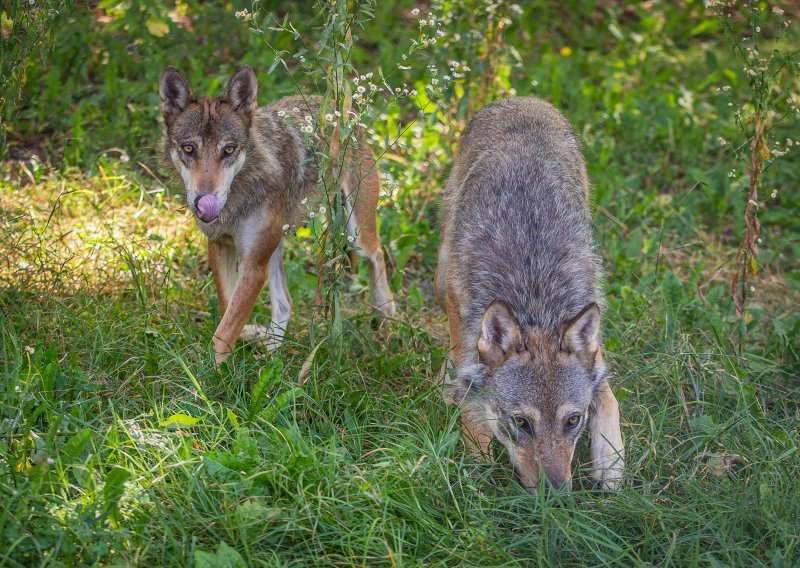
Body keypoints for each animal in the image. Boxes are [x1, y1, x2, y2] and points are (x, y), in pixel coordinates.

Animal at [158, 65, 396, 364]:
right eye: (188, 149)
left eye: (229, 150)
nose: (204, 202)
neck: (238, 193)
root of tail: (343, 111)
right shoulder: (220, 246)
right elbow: (227, 310)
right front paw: (237, 350)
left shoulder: (253, 267)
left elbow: (222, 334)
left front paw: (210, 375)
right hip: (275, 245)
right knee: (285, 303)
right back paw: (271, 357)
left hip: (354, 235)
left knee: (378, 252)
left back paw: (385, 309)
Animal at [434, 97, 620, 492]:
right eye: (521, 423)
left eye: (572, 421)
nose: (556, 496)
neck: (535, 296)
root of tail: (519, 99)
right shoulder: (465, 325)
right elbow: (474, 406)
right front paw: (476, 471)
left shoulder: (592, 345)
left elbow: (608, 397)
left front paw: (611, 466)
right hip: (442, 280)